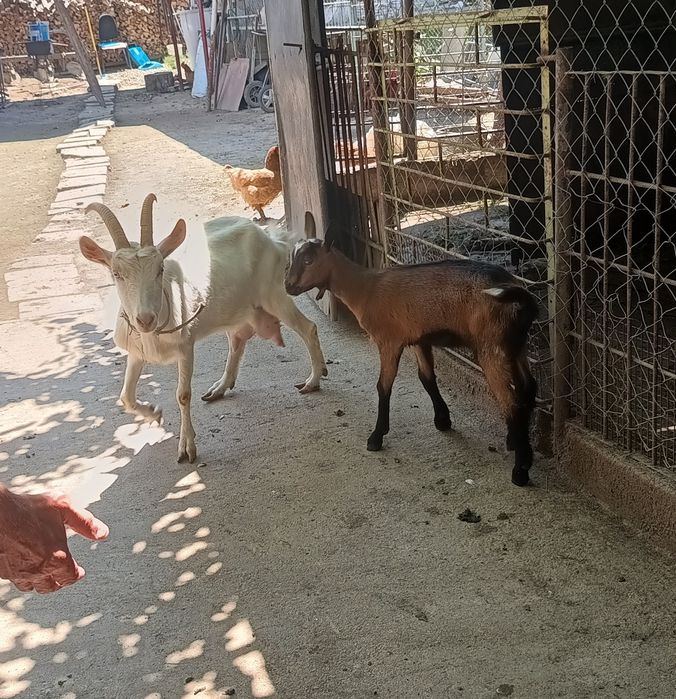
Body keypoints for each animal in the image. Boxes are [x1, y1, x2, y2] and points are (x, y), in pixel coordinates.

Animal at [79, 194, 327, 463]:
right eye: (116, 274)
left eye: (160, 269)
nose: (145, 319)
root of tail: (271, 237)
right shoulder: (136, 352)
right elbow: (126, 396)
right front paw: (155, 413)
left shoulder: (185, 346)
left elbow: (183, 394)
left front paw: (187, 447)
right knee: (238, 339)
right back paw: (220, 387)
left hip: (274, 293)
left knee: (308, 328)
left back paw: (313, 379)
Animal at [285, 236, 538, 487]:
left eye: (308, 260)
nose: (287, 285)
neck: (366, 290)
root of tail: (519, 296)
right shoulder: (418, 340)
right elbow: (426, 378)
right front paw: (442, 420)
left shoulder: (388, 341)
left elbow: (383, 386)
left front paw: (376, 437)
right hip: (517, 346)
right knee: (527, 388)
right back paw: (515, 441)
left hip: (491, 347)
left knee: (511, 401)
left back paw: (521, 469)